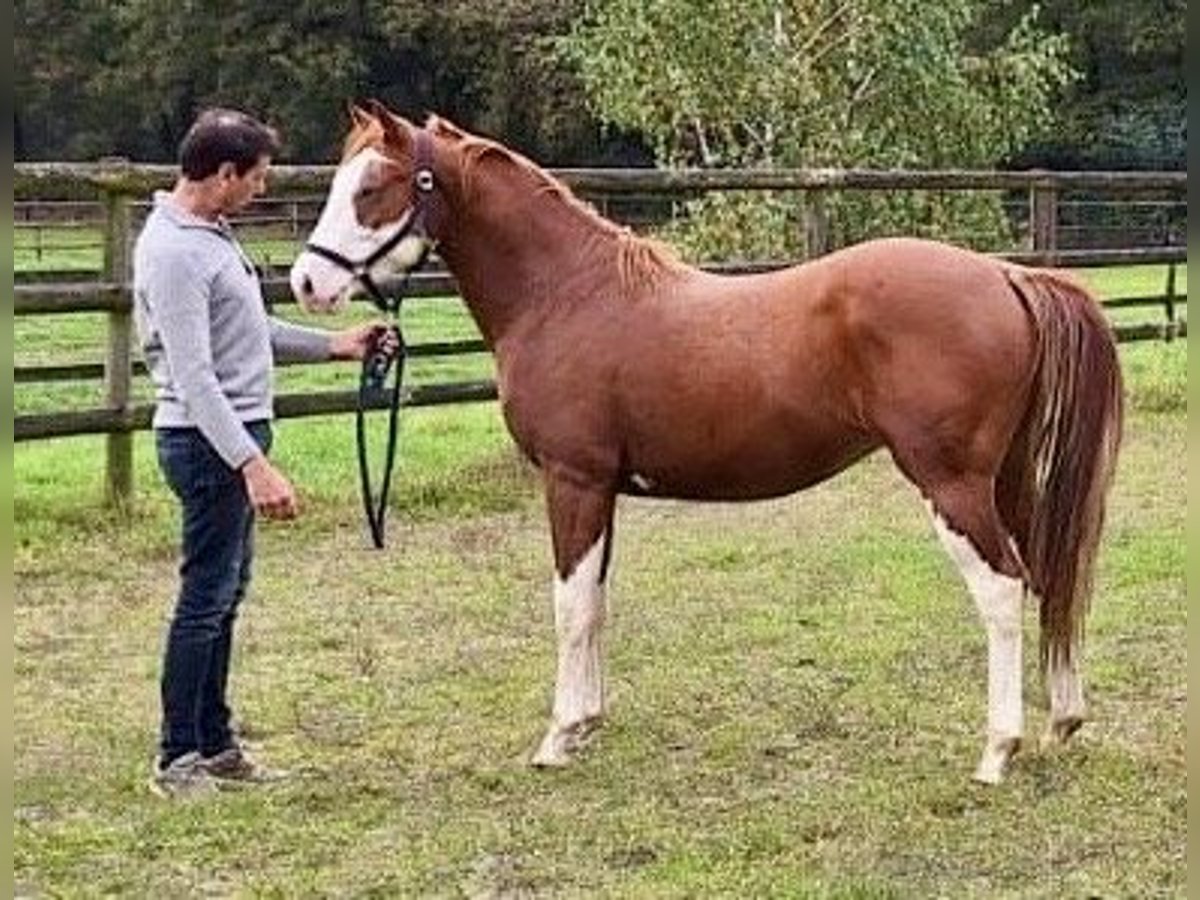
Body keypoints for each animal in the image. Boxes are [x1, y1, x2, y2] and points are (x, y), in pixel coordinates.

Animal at [290, 103, 1123, 782]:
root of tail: (1008, 276)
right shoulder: (603, 489)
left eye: (374, 187)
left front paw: (558, 736)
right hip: (1005, 480)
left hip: (950, 485)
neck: (566, 296)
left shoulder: (572, 479)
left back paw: (997, 750)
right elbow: (596, 601)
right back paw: (1062, 718)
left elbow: (569, 604)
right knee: (1046, 578)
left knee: (1002, 588)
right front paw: (588, 723)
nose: (304, 283)